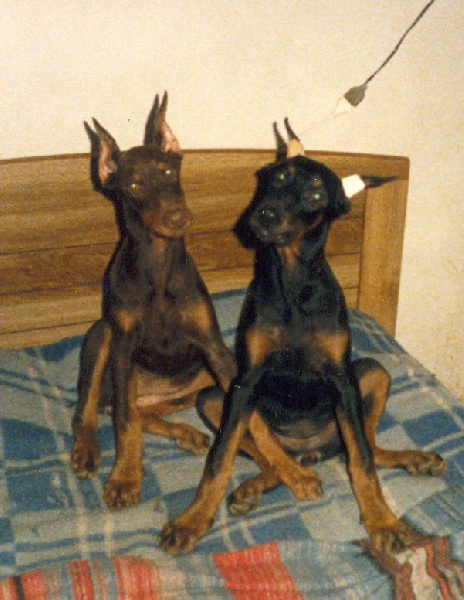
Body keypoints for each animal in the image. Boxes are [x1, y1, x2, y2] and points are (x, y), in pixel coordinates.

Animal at [71, 93, 236, 509]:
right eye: (133, 183)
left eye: (168, 172)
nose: (179, 217)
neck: (159, 266)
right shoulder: (124, 346)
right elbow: (125, 424)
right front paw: (126, 478)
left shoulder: (214, 346)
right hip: (103, 339)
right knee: (93, 409)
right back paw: (86, 450)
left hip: (193, 383)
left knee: (141, 412)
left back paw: (187, 433)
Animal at [159, 120, 446, 554]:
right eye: (279, 177)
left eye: (315, 195)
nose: (266, 214)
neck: (293, 284)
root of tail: (311, 451)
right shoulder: (245, 380)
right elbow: (219, 459)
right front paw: (192, 520)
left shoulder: (341, 379)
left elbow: (362, 462)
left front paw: (381, 521)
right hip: (213, 397)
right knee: (268, 454)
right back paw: (265, 484)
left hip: (370, 374)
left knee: (365, 447)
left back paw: (413, 459)